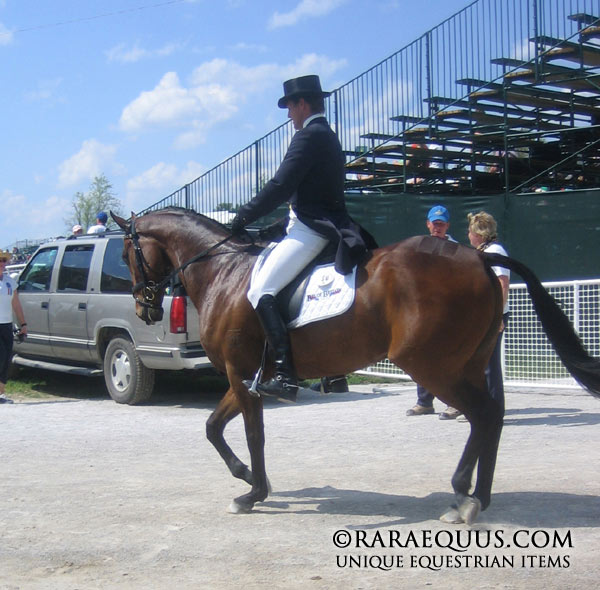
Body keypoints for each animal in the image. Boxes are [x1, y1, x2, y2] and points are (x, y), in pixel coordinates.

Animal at [111, 209, 600, 528]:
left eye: (126, 254)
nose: (143, 307)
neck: (224, 273)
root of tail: (480, 257)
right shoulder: (243, 376)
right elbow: (213, 427)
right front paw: (249, 478)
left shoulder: (241, 375)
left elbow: (251, 434)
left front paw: (253, 492)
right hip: (468, 362)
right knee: (493, 416)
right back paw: (480, 495)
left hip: (433, 366)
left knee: (481, 414)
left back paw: (462, 495)